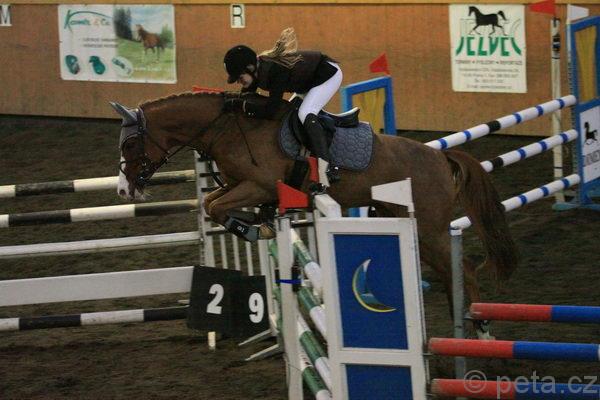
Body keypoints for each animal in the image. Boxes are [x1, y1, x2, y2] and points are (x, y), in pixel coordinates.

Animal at [111, 91, 517, 326]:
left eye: (130, 145)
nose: (123, 189)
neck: (228, 126)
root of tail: (439, 157)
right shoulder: (239, 187)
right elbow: (212, 204)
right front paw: (260, 222)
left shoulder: (255, 185)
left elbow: (216, 207)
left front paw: (253, 227)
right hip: (404, 220)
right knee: (452, 274)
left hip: (430, 229)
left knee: (465, 271)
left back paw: (478, 330)